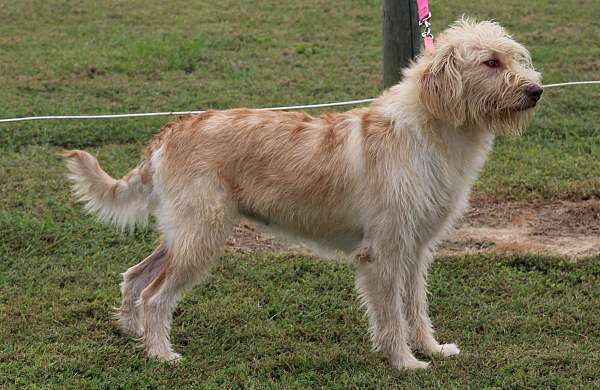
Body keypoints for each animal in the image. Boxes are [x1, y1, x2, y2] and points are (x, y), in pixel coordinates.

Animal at [63, 19, 540, 368]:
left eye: (515, 57)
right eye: (490, 62)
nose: (535, 91)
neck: (430, 130)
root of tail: (172, 130)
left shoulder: (415, 247)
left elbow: (415, 307)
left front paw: (432, 349)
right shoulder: (384, 250)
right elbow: (390, 315)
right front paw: (405, 363)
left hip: (182, 233)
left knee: (134, 276)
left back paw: (133, 332)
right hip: (201, 237)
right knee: (155, 295)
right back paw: (161, 354)